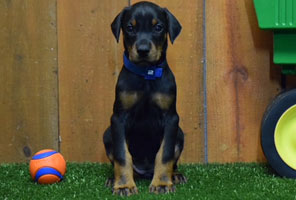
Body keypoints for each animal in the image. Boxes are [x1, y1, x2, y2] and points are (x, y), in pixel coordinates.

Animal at [103, 0, 186, 196]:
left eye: (158, 27)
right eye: (130, 28)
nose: (142, 50)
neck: (146, 74)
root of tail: (145, 172)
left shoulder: (171, 119)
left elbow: (165, 154)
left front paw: (162, 184)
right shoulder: (118, 118)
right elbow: (122, 155)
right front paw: (124, 185)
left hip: (180, 134)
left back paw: (175, 175)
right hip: (108, 134)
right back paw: (112, 179)